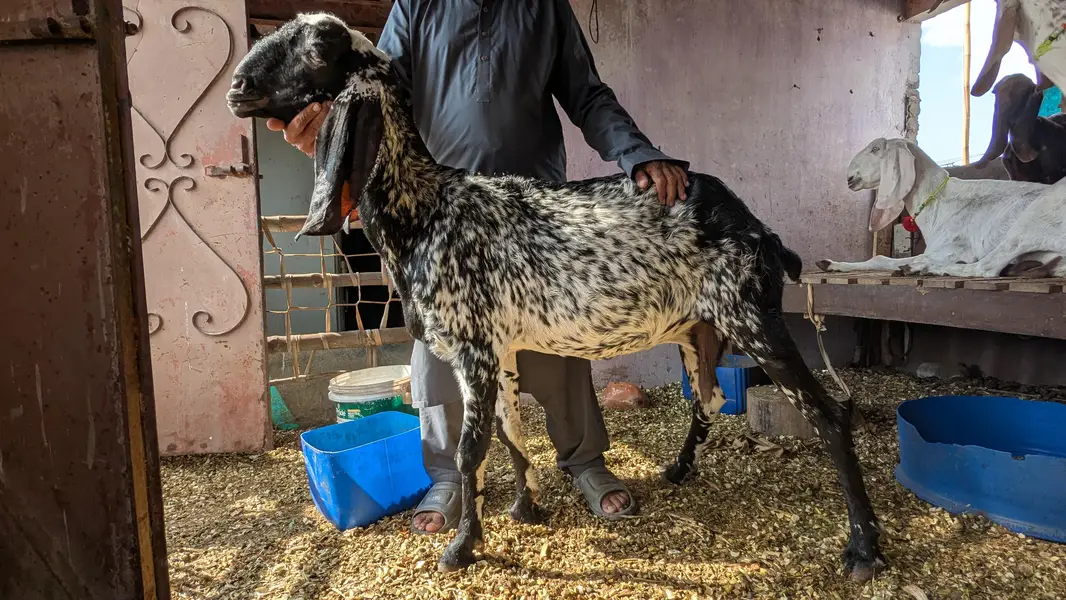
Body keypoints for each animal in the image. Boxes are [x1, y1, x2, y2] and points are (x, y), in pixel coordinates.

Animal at [817, 137, 1066, 278]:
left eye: (876, 149)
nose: (849, 177)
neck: (937, 201)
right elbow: (882, 259)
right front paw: (831, 264)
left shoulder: (952, 248)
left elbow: (890, 259)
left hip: (1032, 219)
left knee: (986, 268)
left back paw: (925, 269)